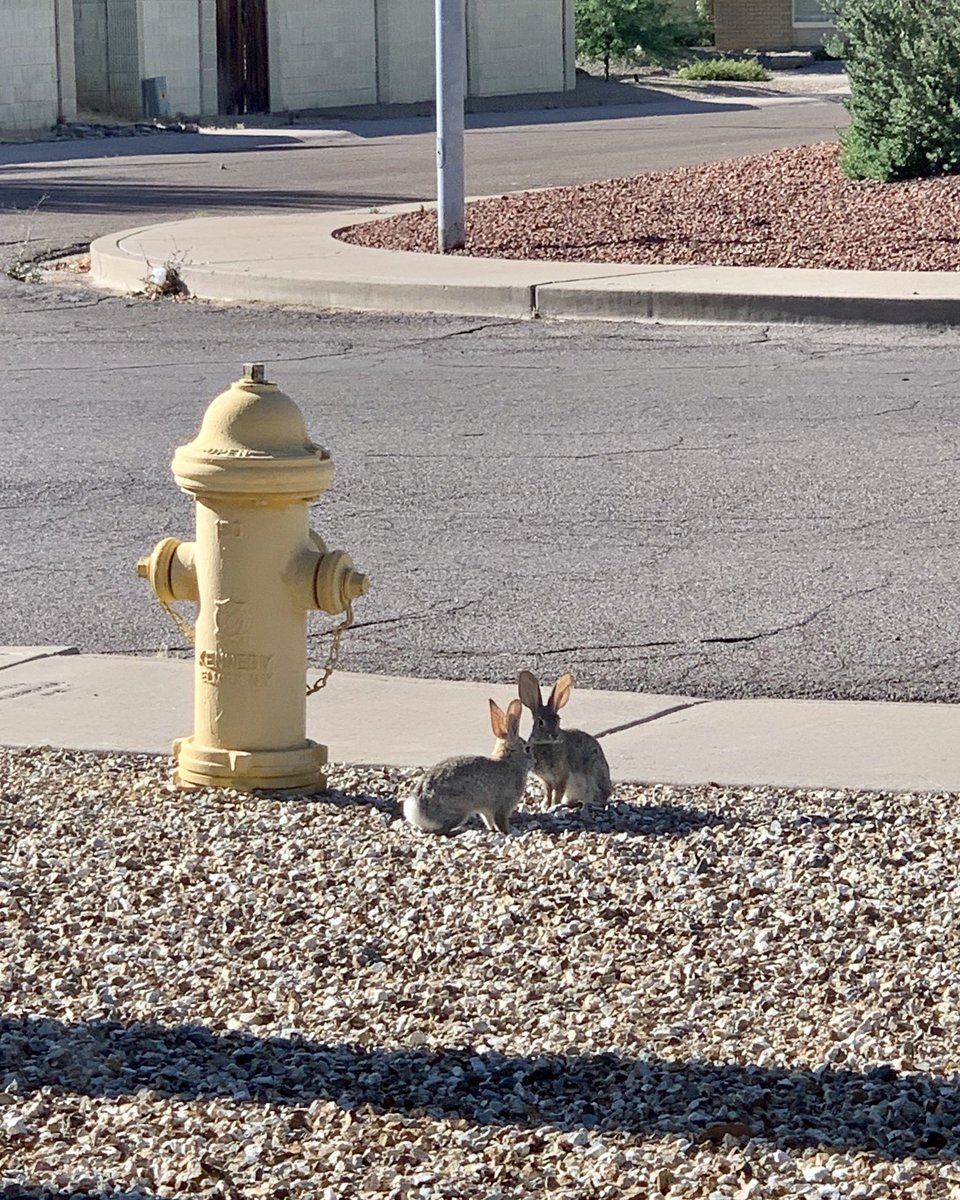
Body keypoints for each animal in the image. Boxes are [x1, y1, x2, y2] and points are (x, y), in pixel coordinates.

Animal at [400, 696, 528, 835]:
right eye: (527, 749)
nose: (534, 761)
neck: (509, 761)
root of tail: (418, 810)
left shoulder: (487, 810)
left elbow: (488, 820)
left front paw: (493, 830)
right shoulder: (503, 806)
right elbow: (501, 822)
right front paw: (507, 833)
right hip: (459, 810)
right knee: (441, 830)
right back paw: (458, 831)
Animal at [518, 672, 614, 811]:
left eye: (558, 719)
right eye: (540, 722)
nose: (554, 735)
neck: (546, 744)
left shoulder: (562, 776)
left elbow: (558, 792)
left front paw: (553, 805)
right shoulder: (546, 780)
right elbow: (548, 792)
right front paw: (545, 805)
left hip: (595, 773)